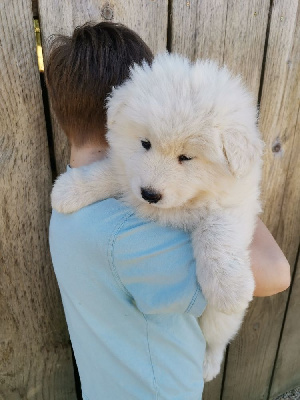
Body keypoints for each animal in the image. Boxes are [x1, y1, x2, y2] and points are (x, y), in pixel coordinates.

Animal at [51, 53, 262, 382]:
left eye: (186, 157)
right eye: (145, 143)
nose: (150, 194)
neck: (183, 204)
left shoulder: (235, 204)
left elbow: (217, 233)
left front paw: (229, 287)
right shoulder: (128, 171)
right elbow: (108, 173)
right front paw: (67, 189)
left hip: (218, 321)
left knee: (216, 338)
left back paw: (209, 363)